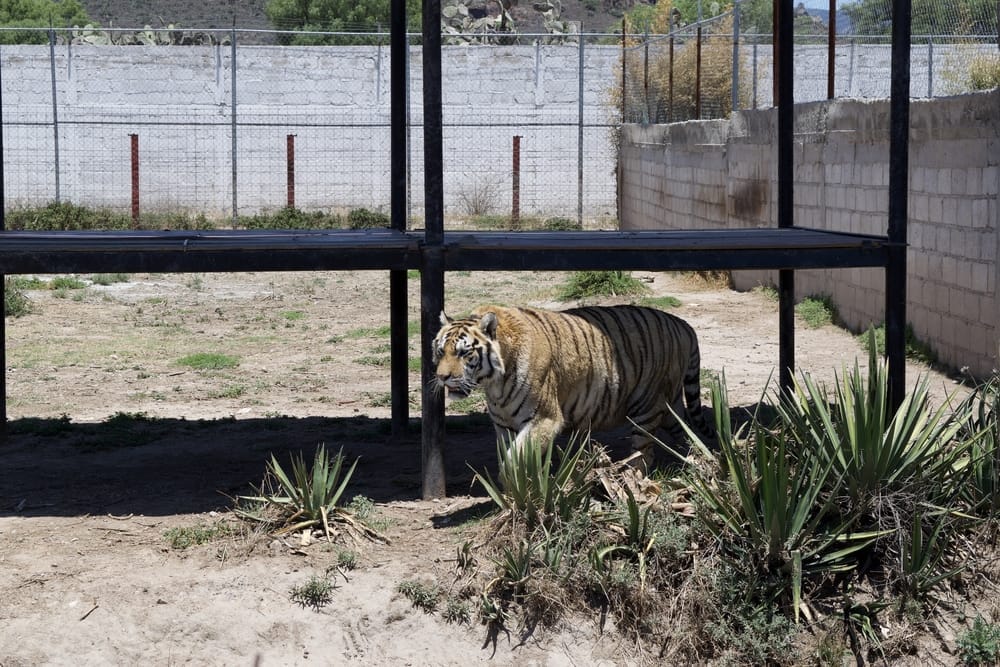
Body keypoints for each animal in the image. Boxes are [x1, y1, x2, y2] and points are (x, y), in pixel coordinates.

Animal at [432, 304, 713, 469]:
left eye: (464, 353)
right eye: (440, 351)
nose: (442, 377)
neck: (494, 384)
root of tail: (682, 324)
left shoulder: (544, 419)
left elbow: (516, 457)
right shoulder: (504, 425)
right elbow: (508, 459)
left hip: (646, 406)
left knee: (644, 454)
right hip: (668, 406)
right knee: (685, 430)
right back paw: (693, 462)